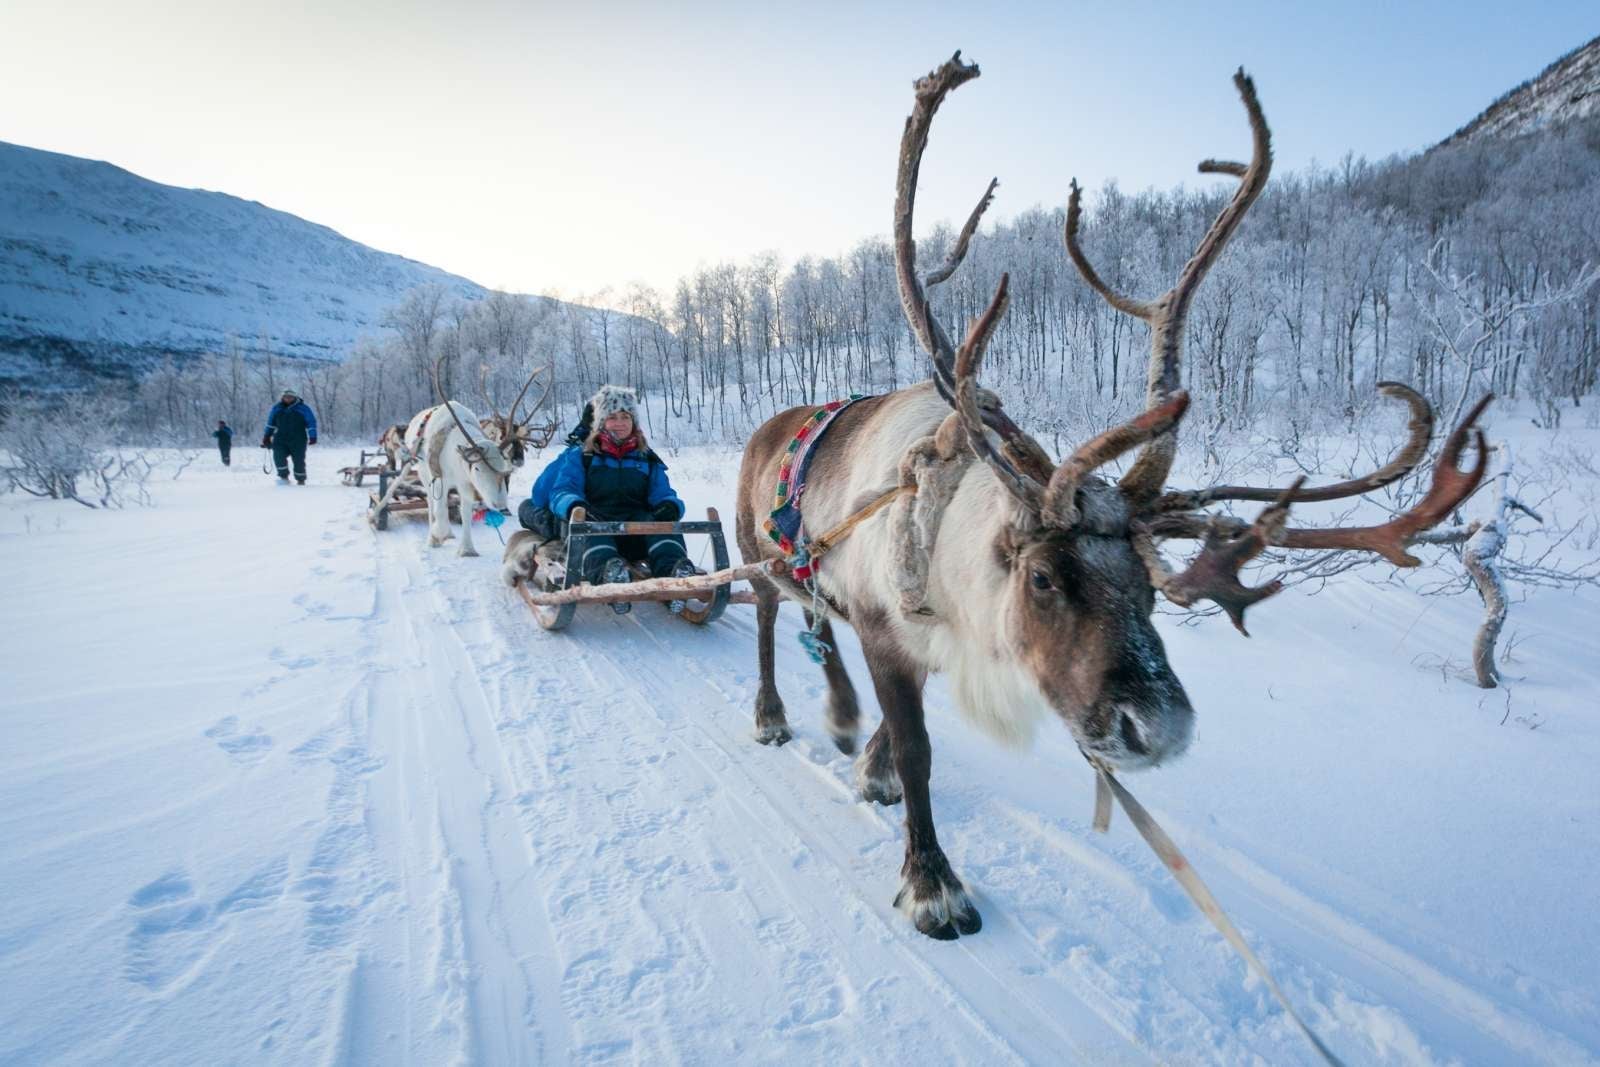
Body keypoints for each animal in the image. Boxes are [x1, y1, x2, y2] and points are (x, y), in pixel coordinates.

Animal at [732, 53, 1489, 941]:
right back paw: (772, 714)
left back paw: (841, 716)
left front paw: (870, 765)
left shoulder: (936, 639)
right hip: (753, 557)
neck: (946, 536)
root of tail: (763, 428)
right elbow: (919, 750)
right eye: (1042, 577)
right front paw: (932, 884)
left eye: (1150, 590)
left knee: (817, 622)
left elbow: (898, 726)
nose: (1157, 731)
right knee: (772, 619)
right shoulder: (890, 629)